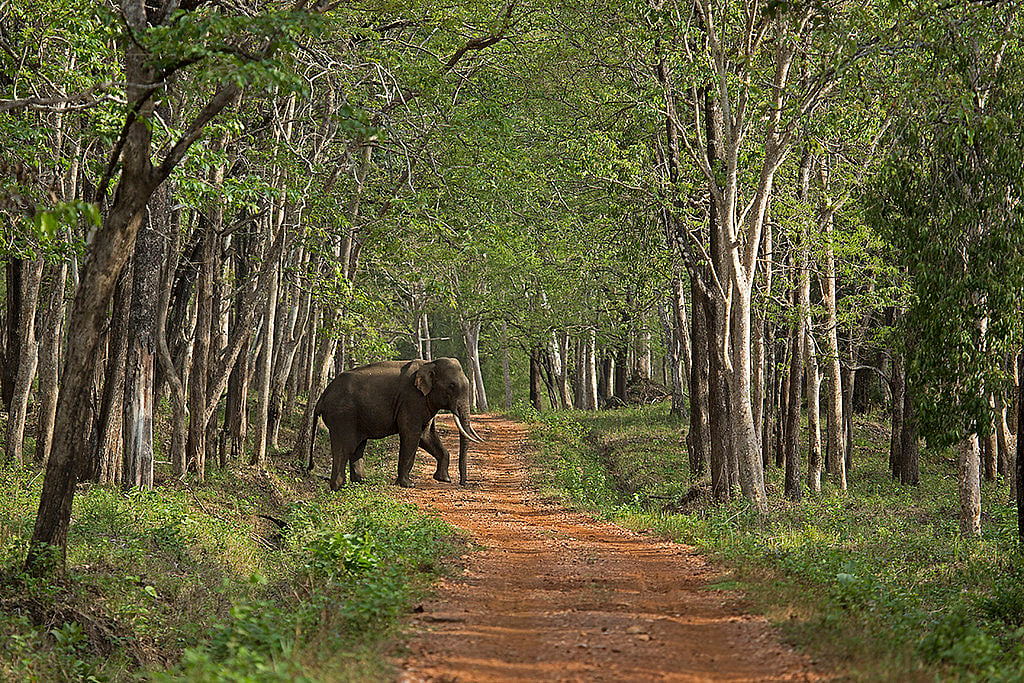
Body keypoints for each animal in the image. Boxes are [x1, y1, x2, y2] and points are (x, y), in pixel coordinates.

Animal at [307, 357, 483, 489]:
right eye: (452, 386)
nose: (462, 483)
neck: (429, 363)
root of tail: (322, 397)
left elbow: (426, 436)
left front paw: (443, 479)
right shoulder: (411, 400)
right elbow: (412, 435)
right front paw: (408, 484)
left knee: (357, 447)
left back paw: (362, 482)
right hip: (342, 416)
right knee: (345, 448)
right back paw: (338, 487)